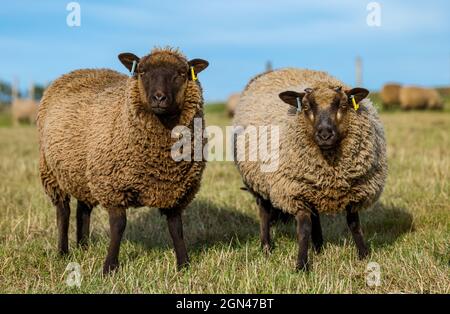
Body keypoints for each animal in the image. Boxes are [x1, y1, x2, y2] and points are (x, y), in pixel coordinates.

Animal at [37, 47, 209, 274]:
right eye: (142, 72)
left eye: (181, 74)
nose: (159, 97)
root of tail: (78, 71)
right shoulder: (113, 187)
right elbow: (118, 226)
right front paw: (109, 267)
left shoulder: (175, 190)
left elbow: (176, 228)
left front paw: (184, 265)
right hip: (52, 171)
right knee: (63, 212)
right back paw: (63, 252)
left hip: (83, 172)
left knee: (83, 209)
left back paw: (83, 246)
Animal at [232, 68, 386, 270]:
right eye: (305, 107)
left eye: (343, 104)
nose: (325, 134)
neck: (331, 168)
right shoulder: (295, 191)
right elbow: (304, 228)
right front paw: (302, 265)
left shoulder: (354, 191)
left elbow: (354, 224)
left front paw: (364, 254)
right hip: (260, 181)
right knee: (264, 212)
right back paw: (266, 247)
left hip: (313, 187)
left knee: (315, 216)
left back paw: (318, 246)